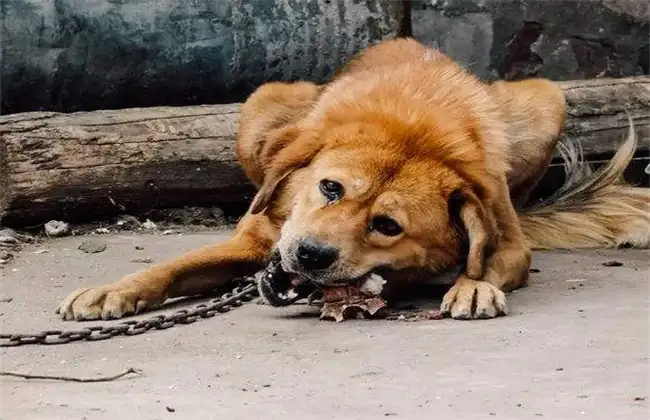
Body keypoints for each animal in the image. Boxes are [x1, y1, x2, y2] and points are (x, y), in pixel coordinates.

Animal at [57, 38, 648, 322]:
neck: (412, 135)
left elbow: (490, 260)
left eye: (386, 226)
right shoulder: (259, 236)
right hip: (258, 107)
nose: (310, 255)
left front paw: (473, 284)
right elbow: (174, 265)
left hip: (547, 98)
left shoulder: (507, 235)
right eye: (330, 189)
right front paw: (116, 290)